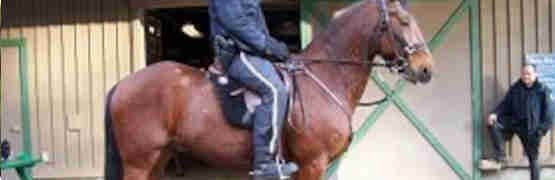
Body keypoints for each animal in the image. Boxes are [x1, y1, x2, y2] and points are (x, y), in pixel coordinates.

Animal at [104, 0, 434, 179]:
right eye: (403, 21)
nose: (426, 69)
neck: (325, 77)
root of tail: (123, 83)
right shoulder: (312, 164)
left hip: (159, 158)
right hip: (139, 162)